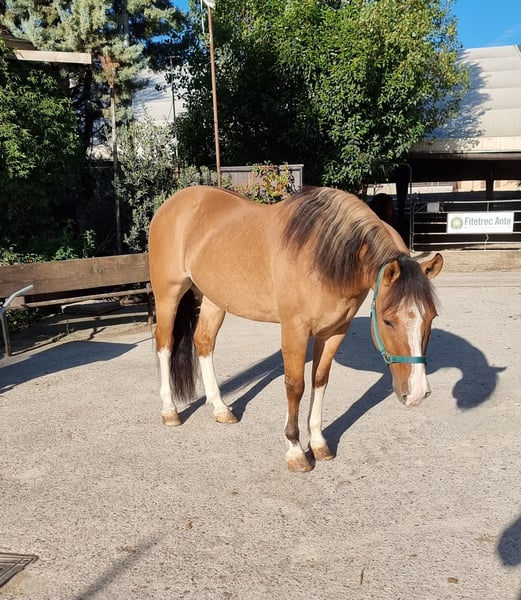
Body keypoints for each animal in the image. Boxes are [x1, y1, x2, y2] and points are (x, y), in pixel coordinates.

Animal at [148, 186, 443, 472]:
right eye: (388, 320)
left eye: (431, 317)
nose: (417, 393)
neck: (324, 255)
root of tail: (173, 203)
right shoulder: (295, 329)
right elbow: (295, 385)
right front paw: (295, 451)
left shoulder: (335, 330)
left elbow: (320, 380)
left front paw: (319, 443)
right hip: (168, 294)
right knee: (165, 344)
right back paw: (170, 411)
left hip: (214, 300)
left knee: (204, 342)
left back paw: (220, 408)